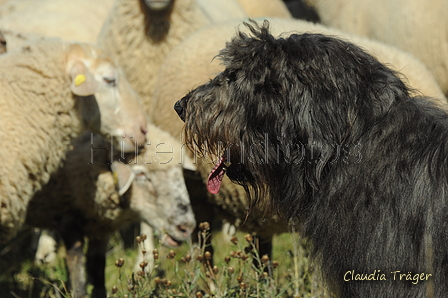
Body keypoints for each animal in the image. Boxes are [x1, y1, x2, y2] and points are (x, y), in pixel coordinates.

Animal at [27, 125, 195, 298]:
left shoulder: (101, 227)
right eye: (141, 173)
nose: (186, 227)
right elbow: (77, 267)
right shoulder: (69, 220)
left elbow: (97, 266)